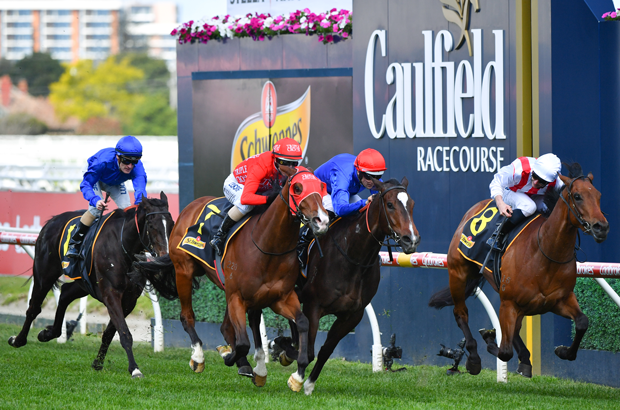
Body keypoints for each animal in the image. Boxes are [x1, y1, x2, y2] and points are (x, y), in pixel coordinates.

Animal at [8, 192, 174, 378]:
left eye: (171, 223)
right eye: (151, 225)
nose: (165, 256)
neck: (123, 246)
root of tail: (52, 221)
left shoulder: (129, 300)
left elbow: (110, 332)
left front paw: (98, 362)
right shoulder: (111, 293)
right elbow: (124, 333)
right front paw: (134, 368)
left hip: (83, 283)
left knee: (65, 294)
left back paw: (49, 333)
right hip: (44, 274)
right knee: (34, 308)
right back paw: (18, 340)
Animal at [132, 166, 330, 390]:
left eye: (321, 186)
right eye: (297, 188)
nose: (322, 221)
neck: (268, 245)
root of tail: (189, 207)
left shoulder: (280, 298)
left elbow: (303, 322)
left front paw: (296, 375)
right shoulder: (238, 296)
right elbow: (243, 343)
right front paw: (233, 358)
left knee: (226, 326)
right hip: (184, 271)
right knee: (187, 316)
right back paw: (199, 356)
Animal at [276, 176, 422, 394]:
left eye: (411, 204)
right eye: (390, 205)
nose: (411, 239)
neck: (353, 257)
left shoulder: (352, 315)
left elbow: (325, 351)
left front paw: (309, 384)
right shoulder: (314, 306)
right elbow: (309, 350)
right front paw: (297, 378)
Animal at [428, 164, 608, 378]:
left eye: (598, 195)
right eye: (578, 196)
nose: (601, 227)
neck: (544, 252)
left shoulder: (560, 300)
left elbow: (582, 322)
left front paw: (562, 351)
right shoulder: (509, 303)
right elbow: (505, 352)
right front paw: (489, 341)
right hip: (458, 273)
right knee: (460, 313)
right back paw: (473, 358)